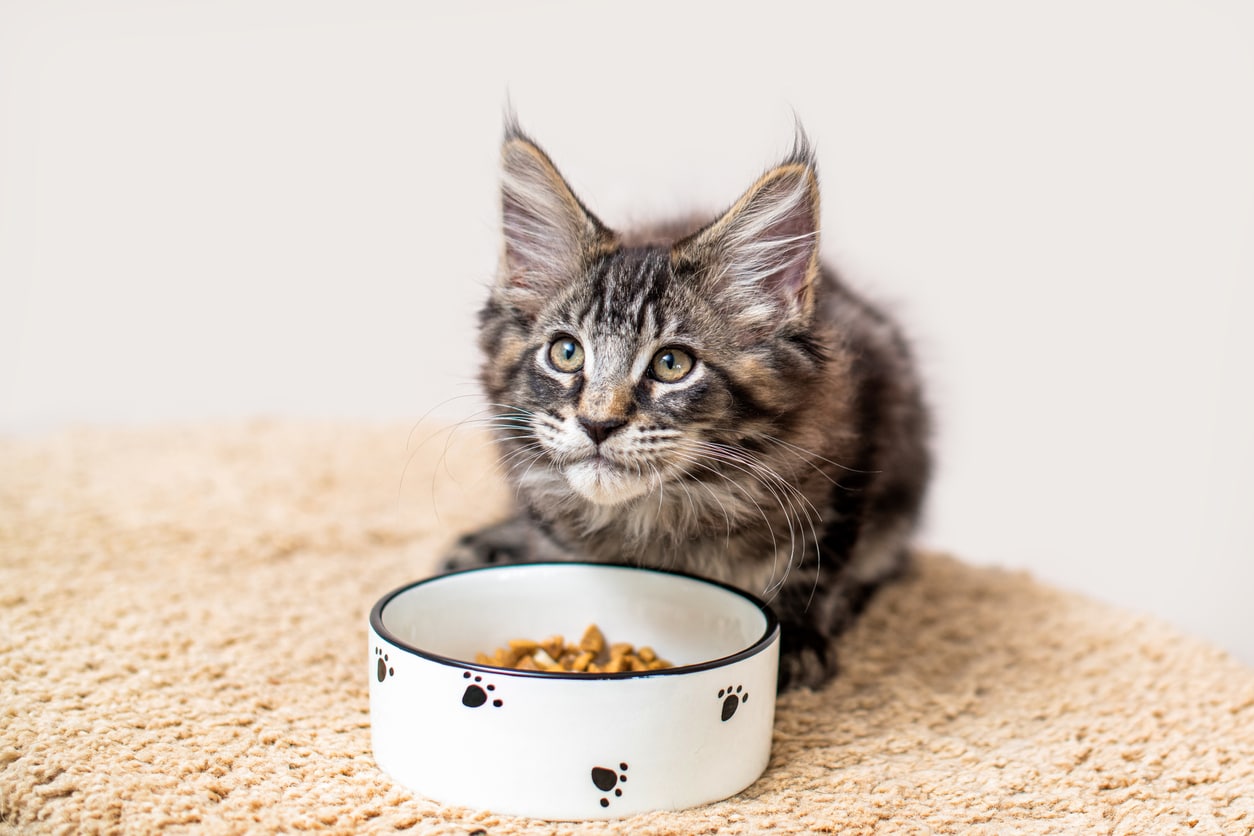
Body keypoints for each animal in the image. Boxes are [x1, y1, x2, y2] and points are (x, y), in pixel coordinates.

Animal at [443, 119, 932, 691]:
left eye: (672, 363)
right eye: (566, 353)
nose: (597, 423)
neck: (664, 515)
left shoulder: (858, 436)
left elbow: (817, 561)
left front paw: (796, 638)